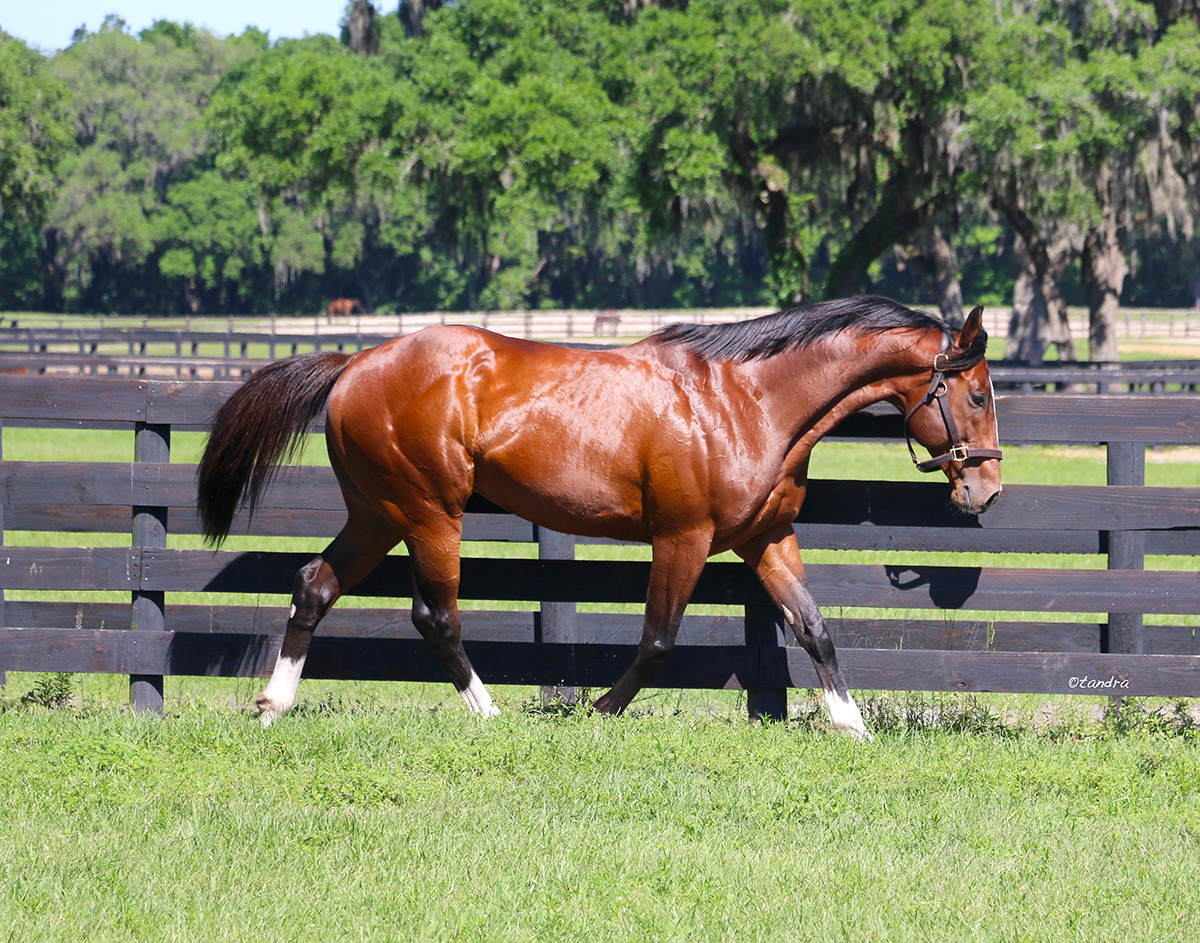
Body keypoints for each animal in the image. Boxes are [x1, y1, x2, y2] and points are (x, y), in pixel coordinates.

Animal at [197, 295, 1003, 737]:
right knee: (436, 616)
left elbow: (813, 626)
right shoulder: (684, 537)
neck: (746, 399)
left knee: (314, 586)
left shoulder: (766, 537)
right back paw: (489, 713)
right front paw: (598, 711)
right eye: (978, 394)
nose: (987, 491)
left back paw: (273, 703)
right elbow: (657, 640)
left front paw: (851, 723)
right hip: (428, 513)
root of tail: (354, 364)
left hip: (377, 513)